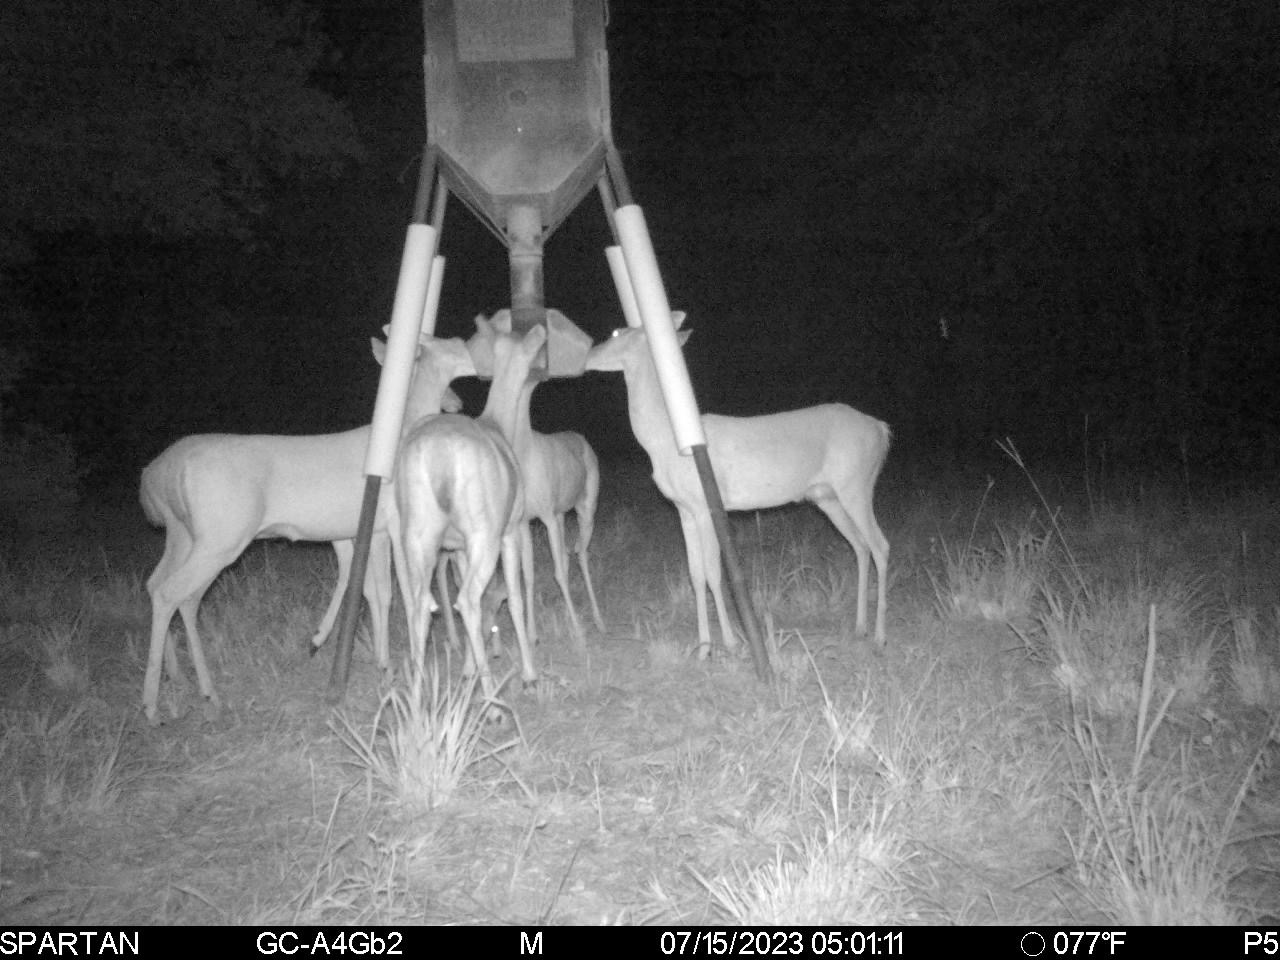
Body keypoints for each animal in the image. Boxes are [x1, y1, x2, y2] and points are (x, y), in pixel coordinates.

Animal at [138, 334, 474, 724]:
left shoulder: (363, 531)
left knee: (163, 586)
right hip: (221, 535)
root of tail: (160, 474)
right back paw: (154, 704)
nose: (458, 402)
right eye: (448, 358)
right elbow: (396, 591)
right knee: (174, 593)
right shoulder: (393, 521)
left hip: (183, 534)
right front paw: (393, 665)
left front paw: (379, 662)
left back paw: (196, 686)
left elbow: (372, 591)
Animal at [394, 324, 547, 703]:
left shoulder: (457, 547)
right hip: (484, 532)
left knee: (420, 604)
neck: (498, 424)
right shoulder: (510, 529)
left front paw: (467, 670)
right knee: (467, 599)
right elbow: (515, 597)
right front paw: (529, 675)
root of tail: (439, 458)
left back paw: (418, 694)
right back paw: (492, 701)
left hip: (417, 535)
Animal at [468, 314, 605, 652]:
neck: (524, 452)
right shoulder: (524, 522)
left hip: (585, 507)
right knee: (571, 554)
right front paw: (532, 634)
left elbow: (558, 572)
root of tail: (582, 440)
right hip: (561, 514)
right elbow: (528, 574)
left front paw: (578, 632)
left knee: (580, 553)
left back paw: (598, 620)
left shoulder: (546, 515)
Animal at [584, 312, 890, 657]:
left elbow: (714, 573)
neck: (664, 441)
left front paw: (729, 642)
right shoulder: (683, 509)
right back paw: (860, 627)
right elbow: (695, 574)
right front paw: (703, 646)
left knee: (880, 545)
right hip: (827, 497)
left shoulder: (705, 505)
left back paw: (880, 636)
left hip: (857, 484)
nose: (587, 355)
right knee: (860, 545)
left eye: (616, 331)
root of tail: (882, 429)